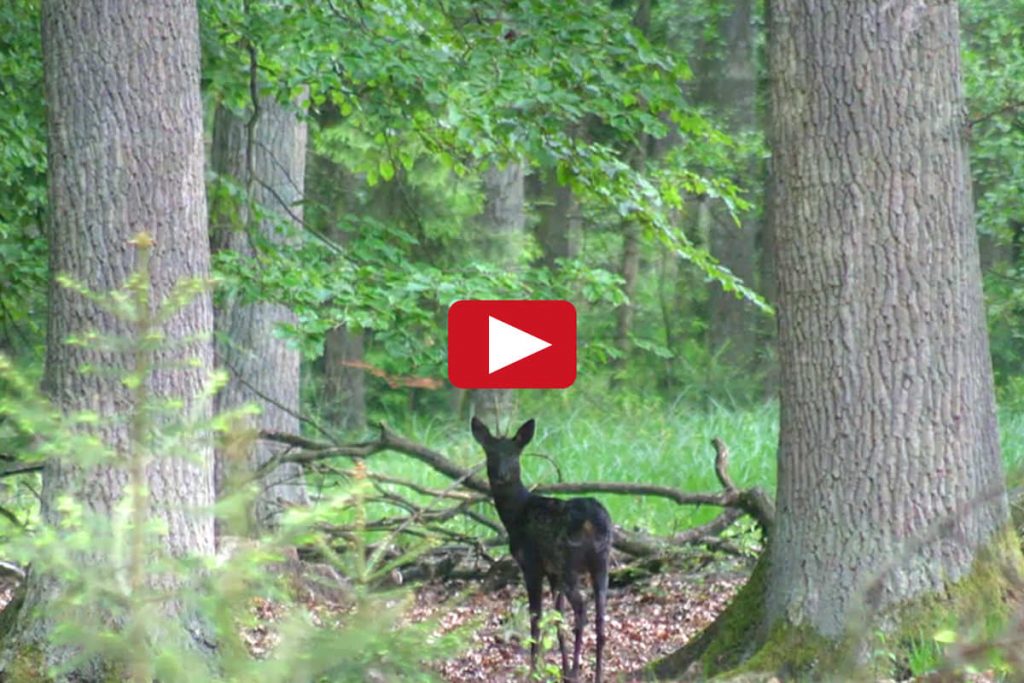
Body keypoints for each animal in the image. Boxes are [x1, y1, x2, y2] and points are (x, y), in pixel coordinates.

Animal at [473, 417, 610, 683]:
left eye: (514, 454)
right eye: (490, 453)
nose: (502, 475)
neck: (515, 515)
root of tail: (592, 520)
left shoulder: (531, 564)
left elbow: (535, 619)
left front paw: (534, 671)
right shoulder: (552, 572)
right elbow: (557, 620)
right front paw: (560, 669)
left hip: (569, 559)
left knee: (582, 607)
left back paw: (576, 672)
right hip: (601, 561)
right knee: (600, 617)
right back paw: (596, 674)